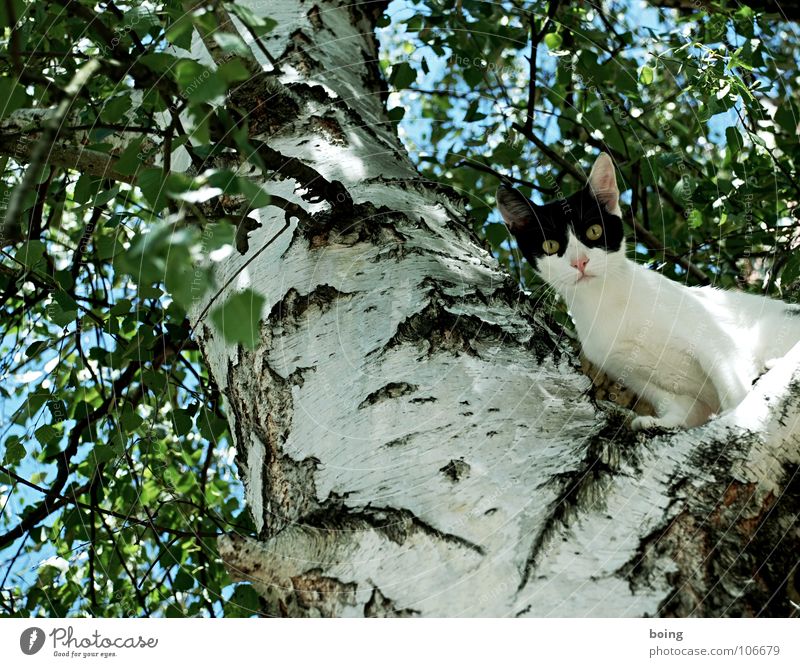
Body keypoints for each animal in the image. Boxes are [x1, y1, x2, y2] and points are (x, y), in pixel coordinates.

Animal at [496, 154, 796, 430]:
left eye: (594, 231)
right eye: (550, 245)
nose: (580, 262)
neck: (606, 303)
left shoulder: (712, 337)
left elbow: (729, 379)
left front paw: (739, 414)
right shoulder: (631, 373)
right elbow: (680, 404)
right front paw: (665, 423)